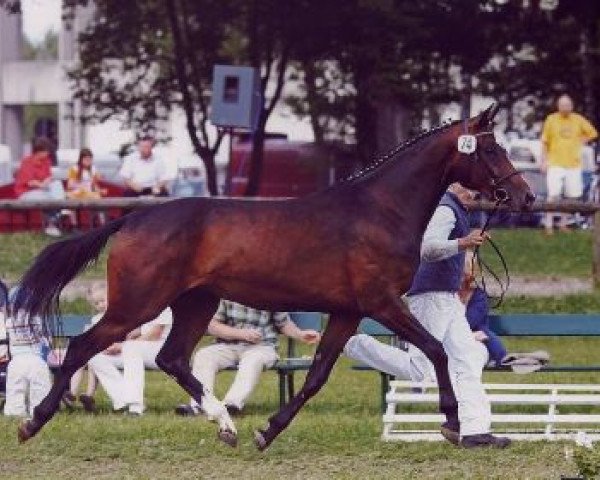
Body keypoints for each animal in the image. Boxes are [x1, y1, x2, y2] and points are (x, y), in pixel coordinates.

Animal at [14, 103, 532, 448]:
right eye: (490, 148)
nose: (525, 197)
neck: (380, 210)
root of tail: (133, 218)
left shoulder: (346, 312)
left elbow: (316, 375)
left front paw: (268, 432)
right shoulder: (381, 302)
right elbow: (436, 349)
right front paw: (452, 422)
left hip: (195, 303)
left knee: (172, 359)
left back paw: (226, 426)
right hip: (136, 304)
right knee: (84, 346)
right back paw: (32, 422)